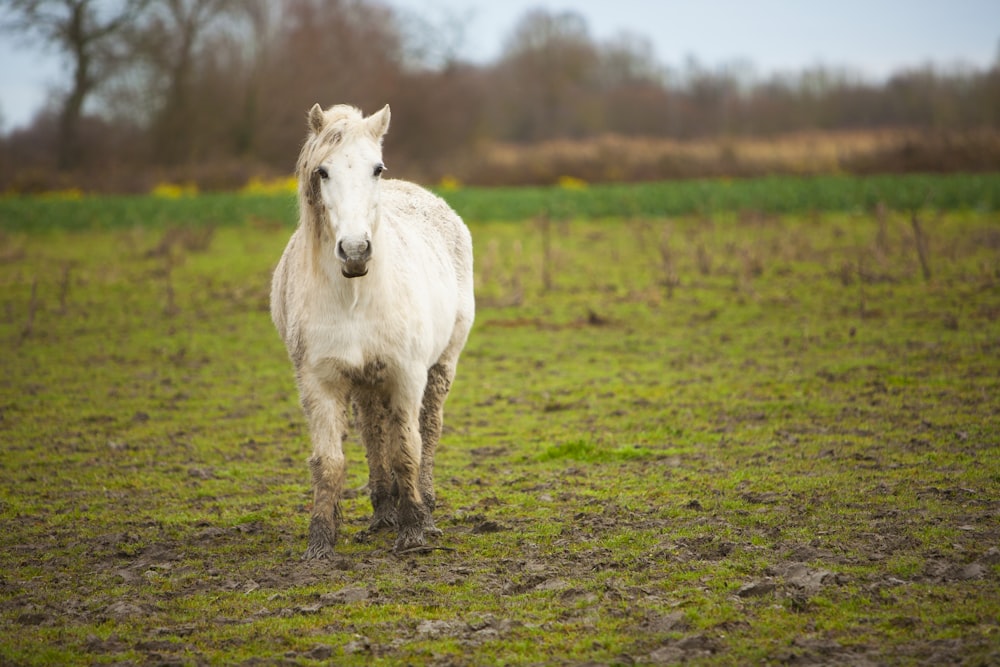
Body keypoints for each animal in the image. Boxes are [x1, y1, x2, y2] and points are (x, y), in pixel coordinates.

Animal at [272, 102, 474, 556]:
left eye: (376, 169)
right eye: (323, 171)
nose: (355, 251)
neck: (355, 295)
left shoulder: (406, 374)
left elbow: (407, 450)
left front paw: (414, 531)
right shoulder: (319, 382)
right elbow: (329, 462)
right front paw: (320, 542)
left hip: (442, 366)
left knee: (428, 430)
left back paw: (424, 508)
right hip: (365, 382)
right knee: (372, 431)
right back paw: (383, 511)